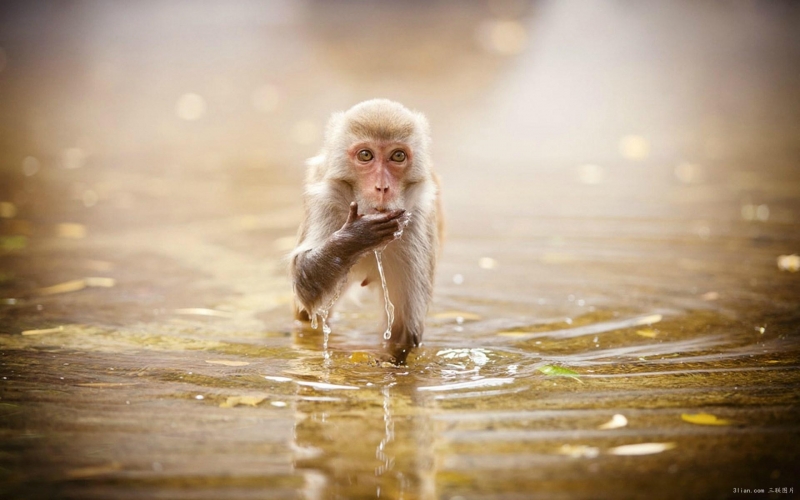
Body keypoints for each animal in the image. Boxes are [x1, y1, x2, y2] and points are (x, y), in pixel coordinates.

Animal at [290, 98, 444, 364]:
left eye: (398, 156)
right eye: (365, 155)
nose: (382, 187)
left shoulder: (418, 221)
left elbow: (403, 332)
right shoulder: (324, 200)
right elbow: (304, 282)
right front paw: (356, 237)